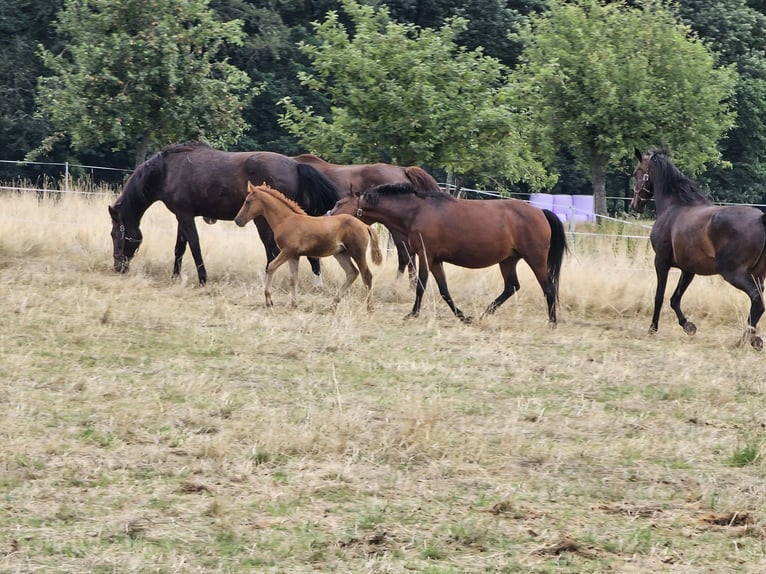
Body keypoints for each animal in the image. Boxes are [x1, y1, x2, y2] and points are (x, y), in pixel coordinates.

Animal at [108, 142, 340, 286]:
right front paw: (175, 276)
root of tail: (297, 166)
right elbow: (179, 248)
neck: (167, 171)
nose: (118, 267)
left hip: (264, 223)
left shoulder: (185, 216)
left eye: (114, 234)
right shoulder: (182, 217)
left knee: (272, 251)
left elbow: (194, 246)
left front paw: (202, 278)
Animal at [231, 183, 380, 310]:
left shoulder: (287, 251)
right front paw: (294, 303)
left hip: (357, 252)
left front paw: (269, 300)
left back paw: (369, 308)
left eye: (247, 201)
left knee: (366, 275)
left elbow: (271, 267)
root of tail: (365, 225)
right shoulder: (294, 255)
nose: (238, 220)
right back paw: (333, 304)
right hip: (341, 253)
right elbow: (293, 278)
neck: (285, 220)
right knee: (352, 273)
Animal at [328, 183, 568, 324]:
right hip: (508, 260)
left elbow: (421, 286)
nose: (328, 216)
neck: (416, 211)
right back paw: (483, 314)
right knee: (512, 287)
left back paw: (552, 322)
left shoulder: (425, 256)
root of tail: (541, 212)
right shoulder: (436, 261)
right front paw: (462, 316)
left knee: (547, 288)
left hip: (535, 259)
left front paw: (412, 314)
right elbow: (444, 290)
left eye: (340, 202)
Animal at [632, 147, 766, 352]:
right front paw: (688, 326)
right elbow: (675, 298)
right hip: (758, 275)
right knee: (757, 304)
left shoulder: (661, 262)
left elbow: (659, 296)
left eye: (637, 172)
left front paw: (652, 328)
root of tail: (761, 218)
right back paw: (753, 339)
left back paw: (742, 341)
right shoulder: (688, 269)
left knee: (757, 302)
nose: (635, 205)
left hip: (734, 273)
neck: (674, 207)